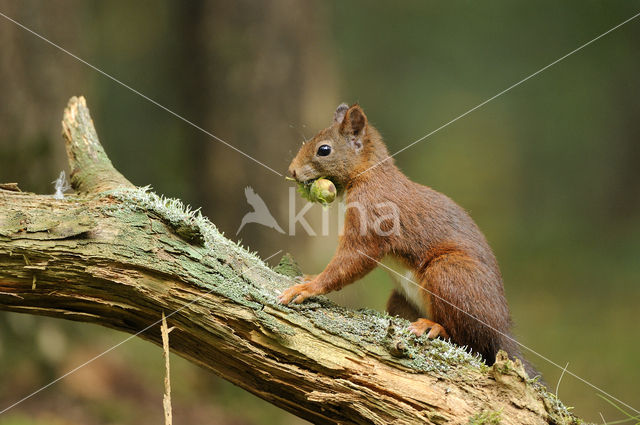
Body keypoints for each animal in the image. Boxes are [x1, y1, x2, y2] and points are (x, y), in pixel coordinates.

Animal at [280, 103, 540, 378]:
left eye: (324, 150)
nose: (292, 170)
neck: (366, 175)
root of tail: (502, 333)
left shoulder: (374, 215)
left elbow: (353, 259)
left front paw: (309, 288)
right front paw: (309, 278)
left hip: (450, 273)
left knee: (471, 342)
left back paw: (434, 328)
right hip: (400, 299)